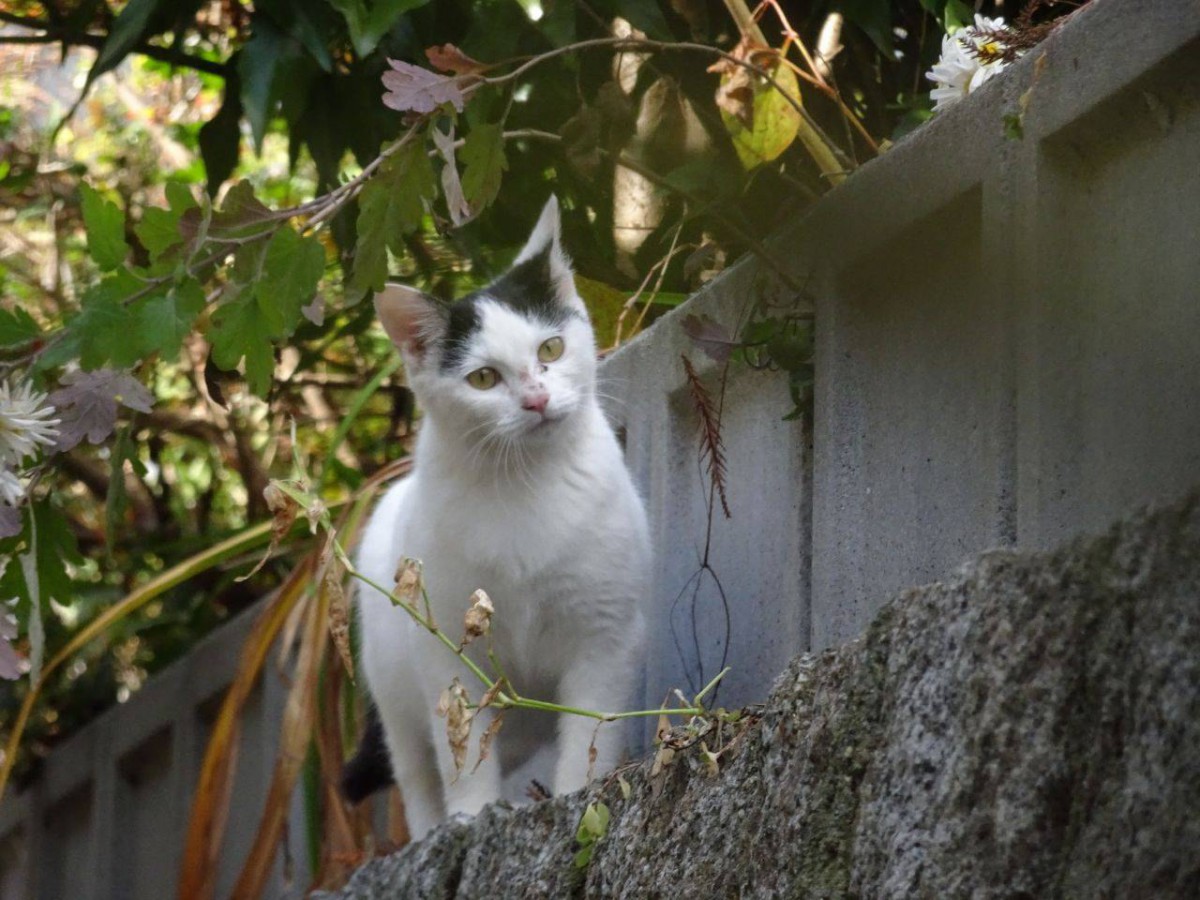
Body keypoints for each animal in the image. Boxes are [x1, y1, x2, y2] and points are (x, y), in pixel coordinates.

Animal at [350, 199, 652, 844]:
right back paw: (434, 828)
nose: (536, 399)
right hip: (395, 698)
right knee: (417, 771)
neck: (525, 483)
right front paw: (471, 817)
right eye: (483, 378)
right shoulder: (448, 658)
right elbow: (461, 760)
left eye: (552, 350)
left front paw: (578, 797)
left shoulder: (606, 633)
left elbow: (591, 729)